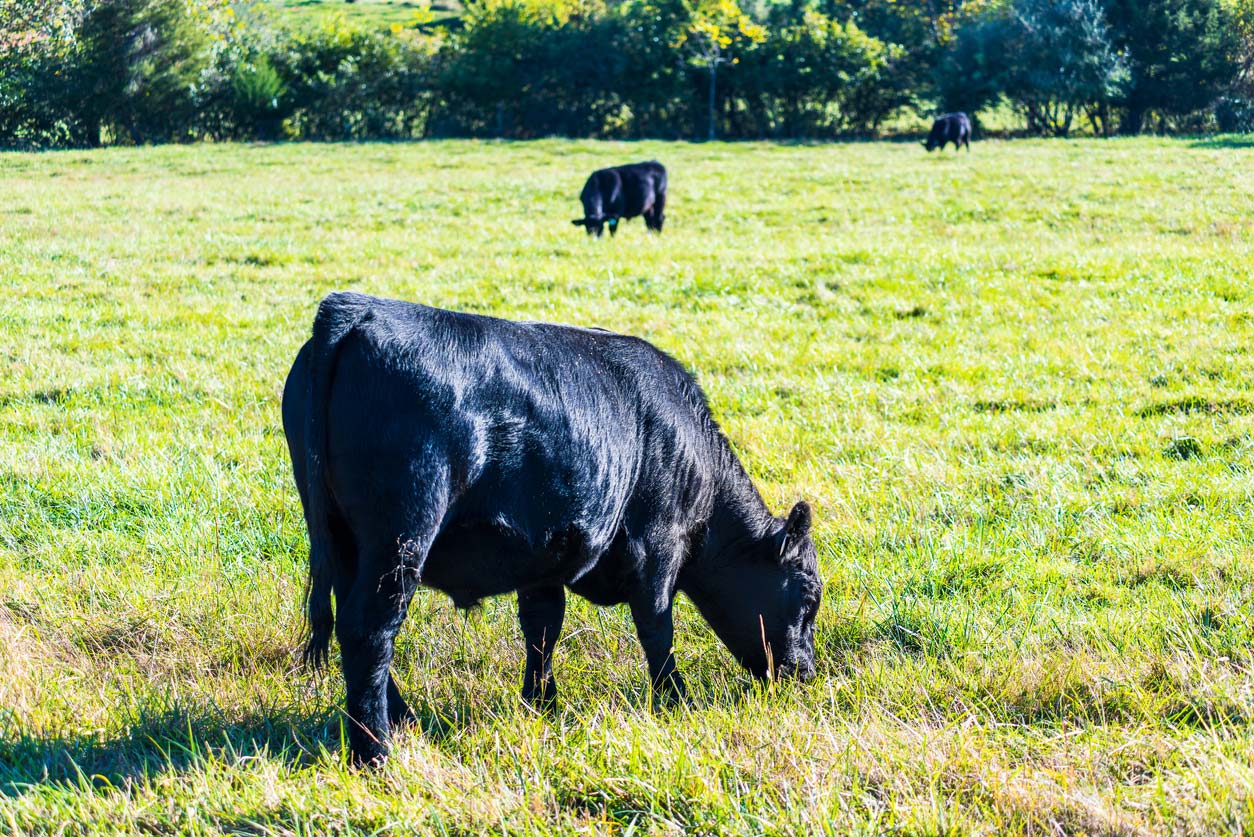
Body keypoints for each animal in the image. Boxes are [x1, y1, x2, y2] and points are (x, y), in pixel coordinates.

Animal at [288, 289, 827, 767]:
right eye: (807, 597)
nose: (805, 673)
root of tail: (359, 309)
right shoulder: (657, 547)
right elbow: (658, 628)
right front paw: (675, 700)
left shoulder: (541, 557)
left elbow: (543, 629)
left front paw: (541, 705)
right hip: (402, 535)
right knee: (369, 629)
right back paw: (376, 752)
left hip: (344, 543)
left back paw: (404, 722)